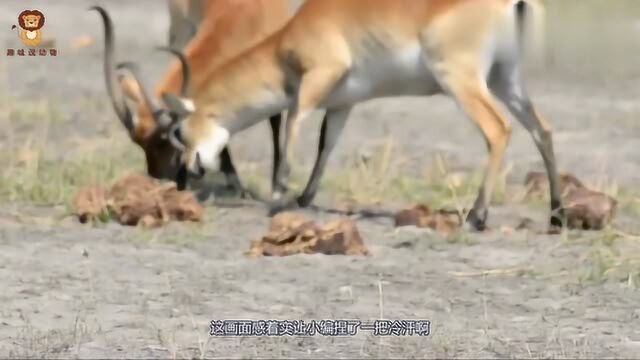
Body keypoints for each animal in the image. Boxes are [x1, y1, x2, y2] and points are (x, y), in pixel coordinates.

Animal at [88, 0, 290, 195]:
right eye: (139, 143)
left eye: (167, 138)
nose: (157, 175)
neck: (240, 17)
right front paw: (234, 182)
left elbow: (275, 119)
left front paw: (275, 185)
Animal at [155, 0, 564, 231]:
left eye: (178, 131)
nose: (187, 172)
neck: (286, 43)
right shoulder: (343, 102)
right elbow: (326, 142)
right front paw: (304, 198)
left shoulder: (315, 81)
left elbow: (293, 126)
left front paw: (277, 201)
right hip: (506, 79)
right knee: (542, 130)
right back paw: (557, 215)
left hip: (461, 80)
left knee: (498, 130)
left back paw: (478, 217)